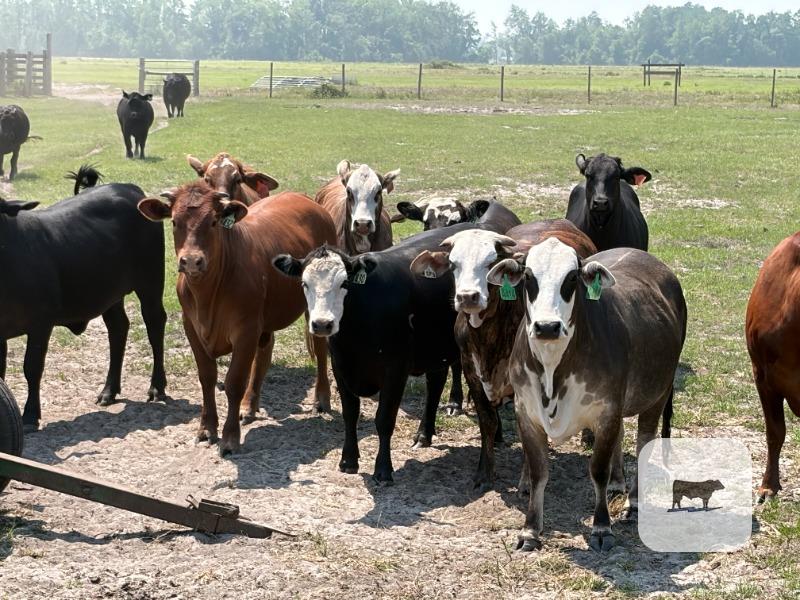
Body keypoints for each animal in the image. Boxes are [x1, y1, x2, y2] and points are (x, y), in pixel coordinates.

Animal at [0, 184, 168, 432]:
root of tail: (129, 188)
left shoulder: (41, 324)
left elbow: (32, 367)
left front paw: (30, 415)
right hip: (110, 292)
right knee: (118, 329)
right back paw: (109, 391)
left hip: (151, 282)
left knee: (155, 324)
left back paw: (157, 386)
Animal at [138, 181, 336, 456]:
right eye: (175, 222)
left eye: (213, 222)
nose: (191, 261)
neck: (208, 296)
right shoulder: (192, 328)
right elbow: (207, 377)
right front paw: (206, 429)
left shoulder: (246, 330)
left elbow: (234, 382)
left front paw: (230, 437)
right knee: (264, 353)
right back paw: (248, 407)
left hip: (314, 305)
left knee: (319, 347)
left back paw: (321, 399)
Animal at [410, 220, 596, 490]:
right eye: (453, 264)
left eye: (490, 263)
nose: (468, 297)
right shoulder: (472, 372)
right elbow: (488, 422)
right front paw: (484, 472)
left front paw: (527, 479)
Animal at [487, 239, 686, 551]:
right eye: (528, 277)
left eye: (571, 278)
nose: (547, 327)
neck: (553, 367)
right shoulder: (526, 413)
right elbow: (539, 472)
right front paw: (530, 531)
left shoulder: (606, 410)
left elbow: (598, 471)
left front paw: (602, 526)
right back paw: (618, 483)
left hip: (658, 395)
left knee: (644, 441)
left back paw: (634, 502)